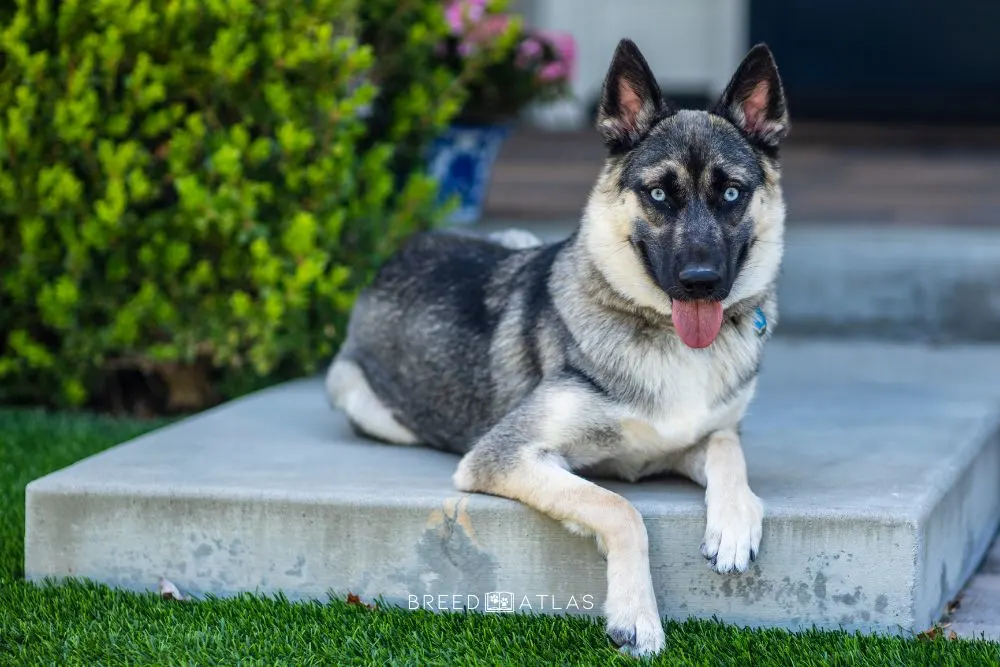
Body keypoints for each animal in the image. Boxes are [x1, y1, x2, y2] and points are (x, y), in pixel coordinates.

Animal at [328, 37, 788, 656]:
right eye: (659, 194)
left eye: (733, 194)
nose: (701, 282)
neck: (664, 331)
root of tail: (400, 252)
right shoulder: (507, 455)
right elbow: (618, 508)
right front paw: (636, 614)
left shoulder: (694, 439)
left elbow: (725, 449)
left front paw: (736, 521)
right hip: (358, 396)